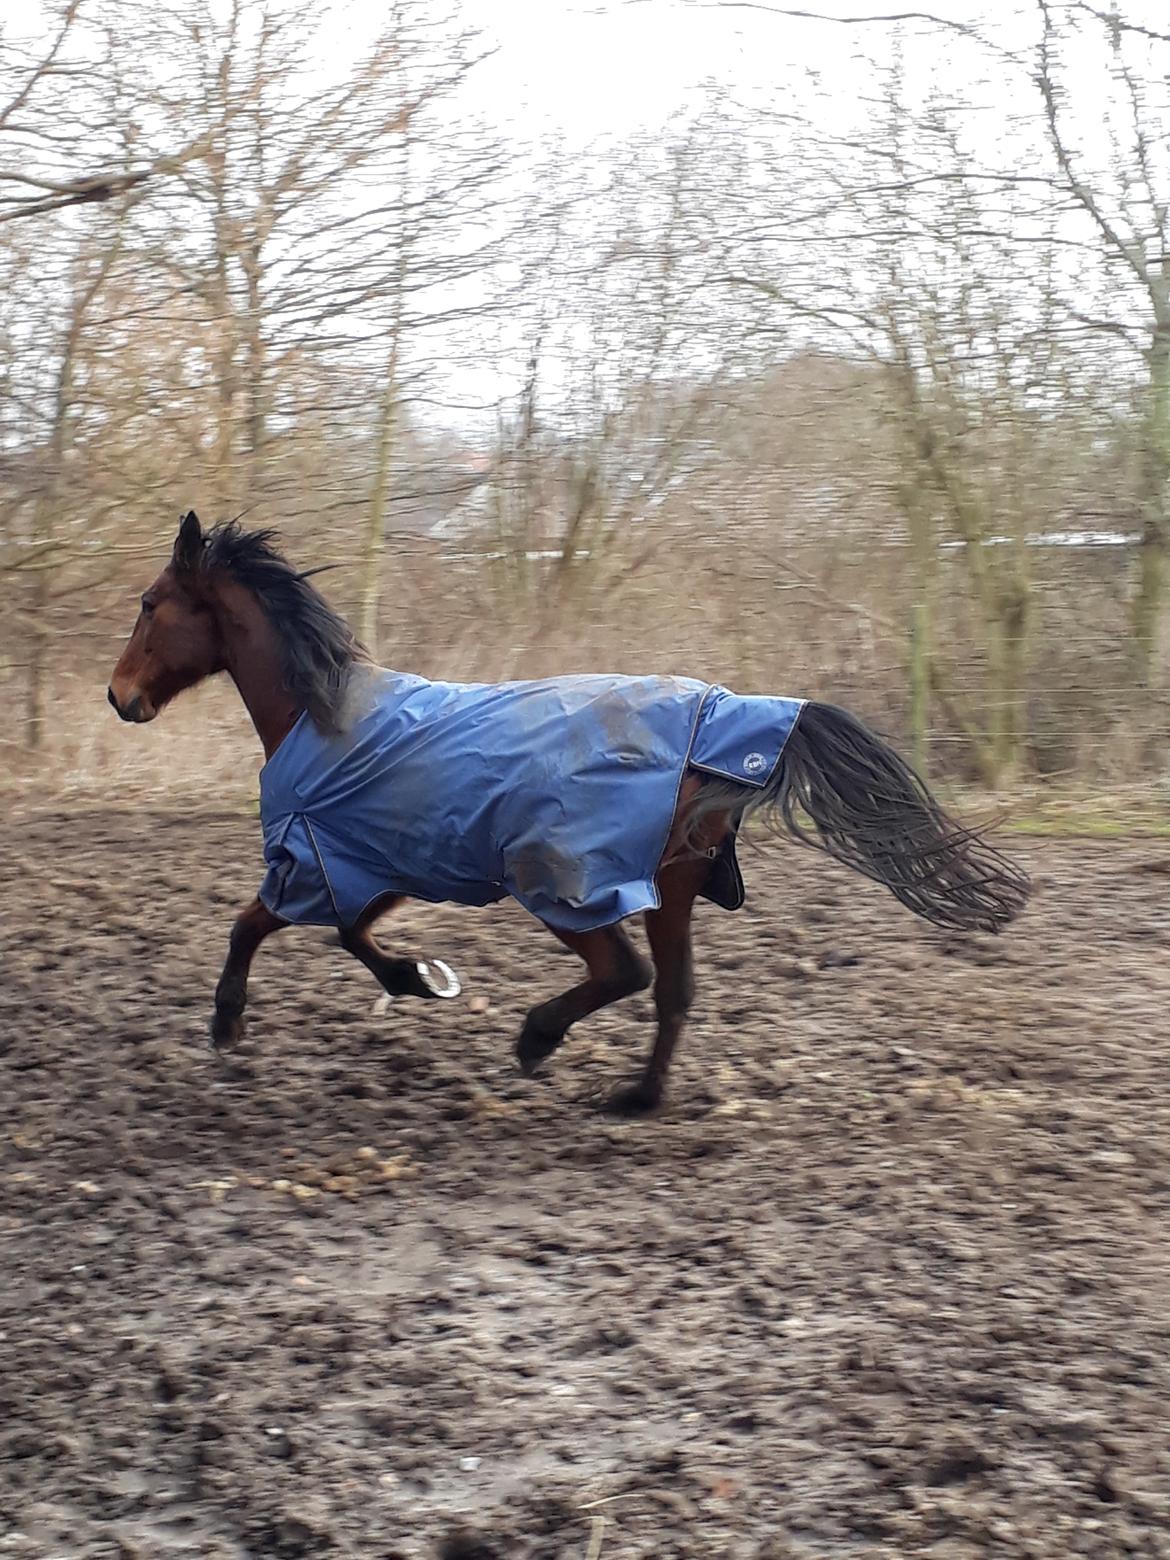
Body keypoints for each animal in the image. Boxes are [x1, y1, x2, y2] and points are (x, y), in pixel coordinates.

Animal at [107, 508, 1023, 1110]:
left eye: (150, 604)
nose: (119, 698)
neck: (324, 715)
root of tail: (725, 717)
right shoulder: (383, 864)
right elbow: (351, 936)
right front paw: (419, 979)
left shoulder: (322, 862)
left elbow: (255, 926)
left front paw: (228, 1026)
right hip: (672, 884)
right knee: (673, 989)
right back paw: (636, 1099)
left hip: (563, 882)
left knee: (627, 973)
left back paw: (537, 1039)